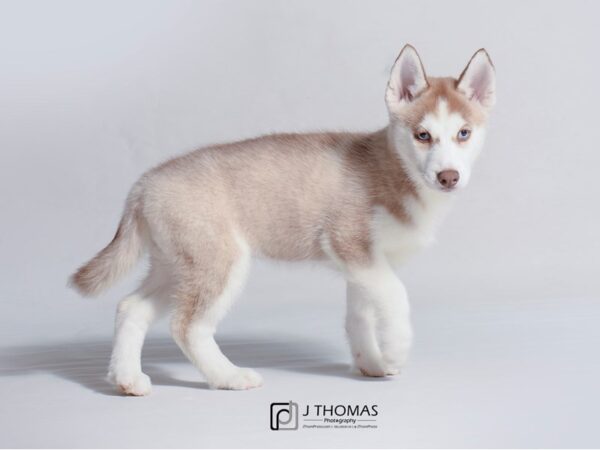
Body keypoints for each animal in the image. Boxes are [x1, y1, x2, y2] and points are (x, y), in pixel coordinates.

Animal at [70, 45, 494, 396]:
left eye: (464, 133)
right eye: (422, 135)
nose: (448, 177)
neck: (394, 171)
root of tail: (143, 184)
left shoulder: (364, 264)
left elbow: (359, 316)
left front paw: (371, 362)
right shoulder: (350, 243)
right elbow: (396, 296)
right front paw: (396, 350)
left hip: (176, 266)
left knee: (131, 308)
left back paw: (127, 379)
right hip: (220, 263)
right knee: (187, 326)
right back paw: (228, 376)